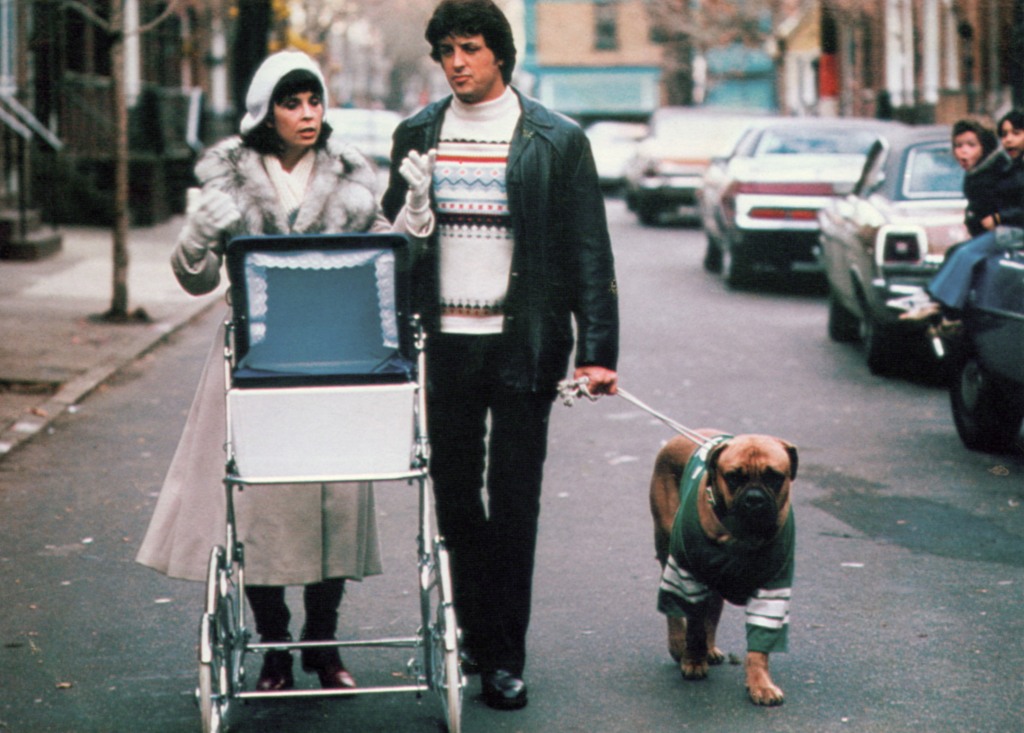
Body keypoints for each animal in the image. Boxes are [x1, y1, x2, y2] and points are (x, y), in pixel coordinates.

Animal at [647, 429, 798, 704]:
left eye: (774, 477)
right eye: (734, 477)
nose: (754, 499)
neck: (741, 535)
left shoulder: (772, 590)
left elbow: (759, 643)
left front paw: (760, 683)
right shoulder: (688, 577)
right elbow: (694, 622)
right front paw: (693, 660)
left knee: (712, 610)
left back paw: (709, 648)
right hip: (668, 552)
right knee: (674, 610)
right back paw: (679, 645)